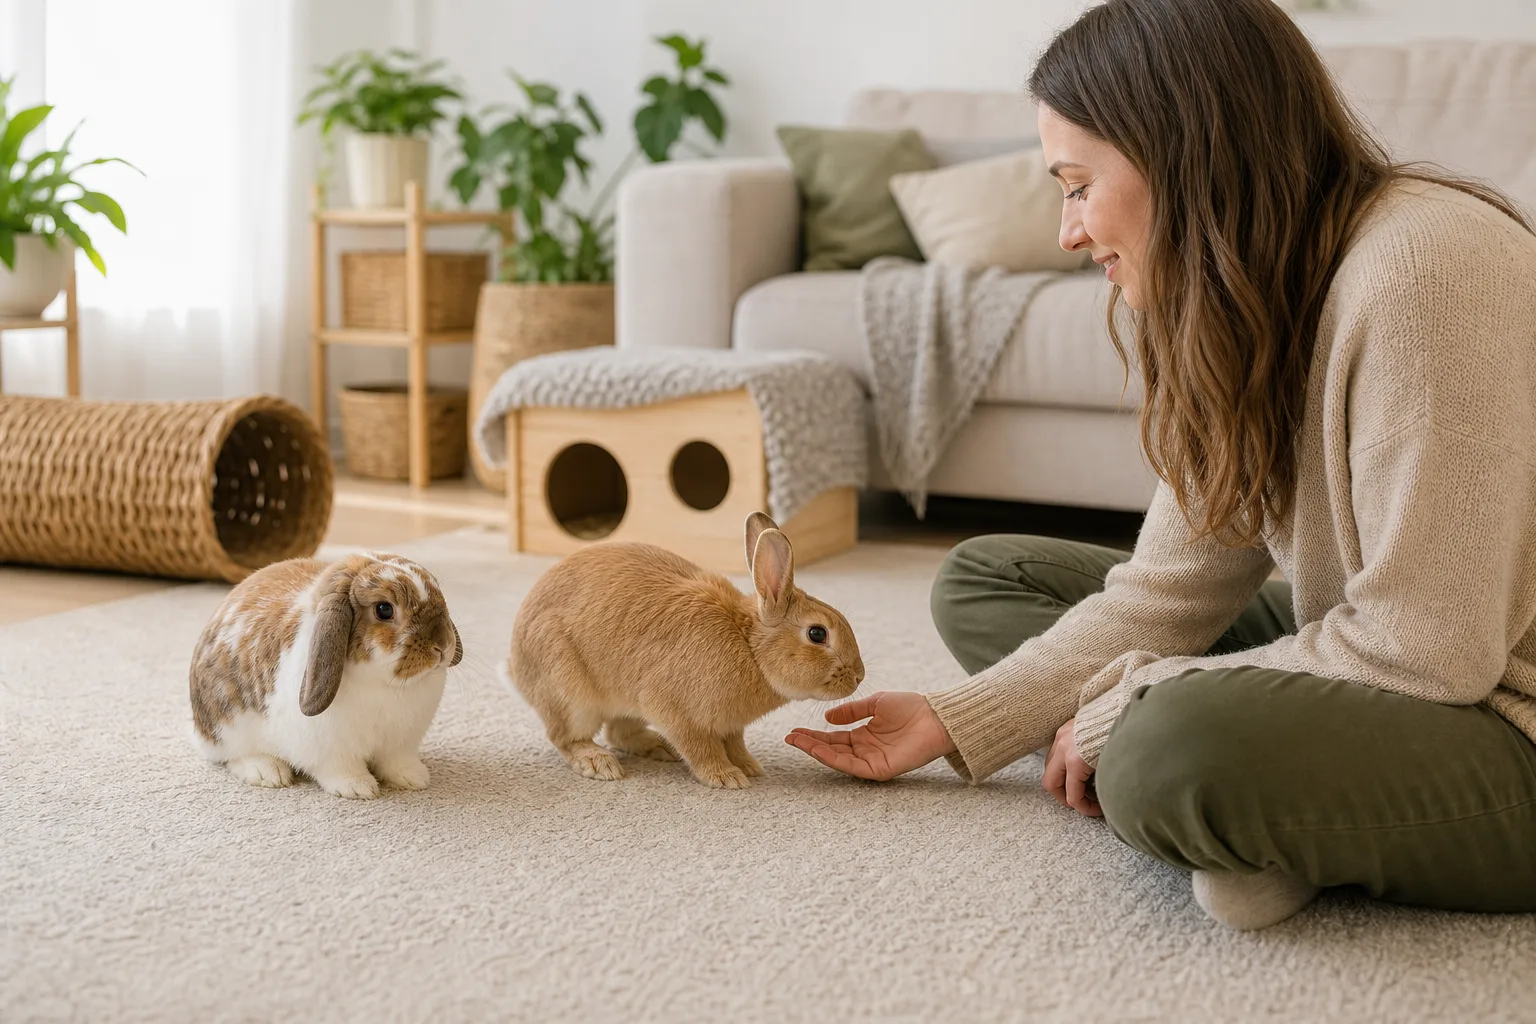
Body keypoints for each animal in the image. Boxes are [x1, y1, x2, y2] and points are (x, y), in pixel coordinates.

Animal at [188, 551, 463, 800]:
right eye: (384, 609)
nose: (442, 647)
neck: (385, 683)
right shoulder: (332, 751)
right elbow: (341, 769)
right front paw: (358, 788)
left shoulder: (399, 745)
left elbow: (396, 762)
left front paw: (414, 777)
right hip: (228, 727)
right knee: (232, 756)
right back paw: (268, 773)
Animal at [505, 511, 865, 789]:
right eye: (817, 634)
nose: (859, 676)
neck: (750, 647)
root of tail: (516, 665)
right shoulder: (675, 711)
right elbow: (701, 748)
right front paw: (726, 777)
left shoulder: (730, 725)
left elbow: (735, 743)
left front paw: (748, 766)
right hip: (571, 696)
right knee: (566, 737)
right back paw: (598, 763)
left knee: (619, 732)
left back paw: (658, 747)